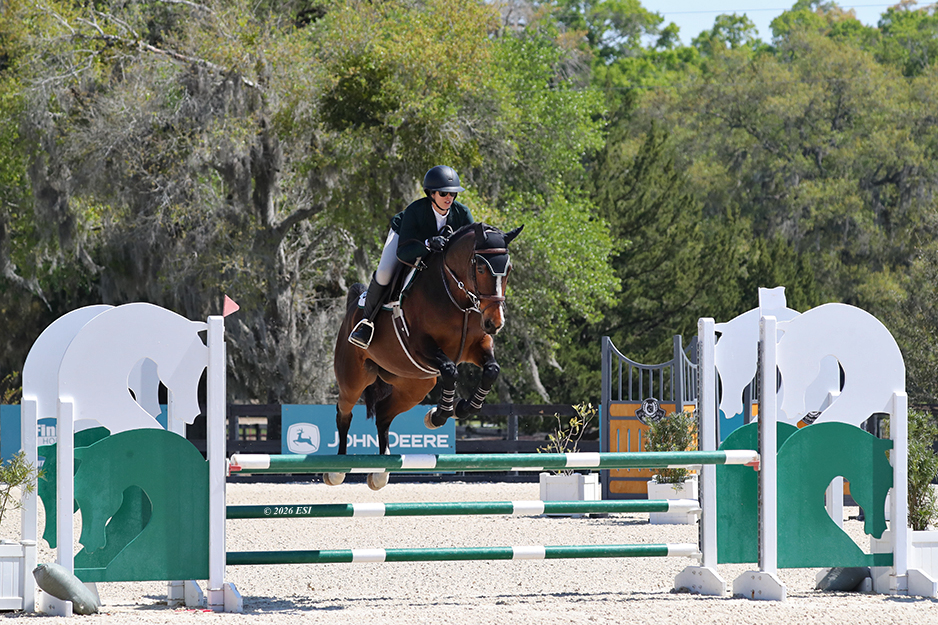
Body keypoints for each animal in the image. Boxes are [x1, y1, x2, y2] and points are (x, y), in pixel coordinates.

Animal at [332, 222, 523, 490]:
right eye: (481, 268)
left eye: (508, 269)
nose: (495, 323)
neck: (459, 301)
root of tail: (351, 309)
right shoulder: (421, 347)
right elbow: (451, 370)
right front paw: (440, 415)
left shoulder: (477, 345)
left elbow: (491, 370)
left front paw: (462, 408)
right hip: (354, 378)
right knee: (344, 412)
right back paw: (337, 470)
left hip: (415, 385)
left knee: (383, 413)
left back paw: (380, 473)